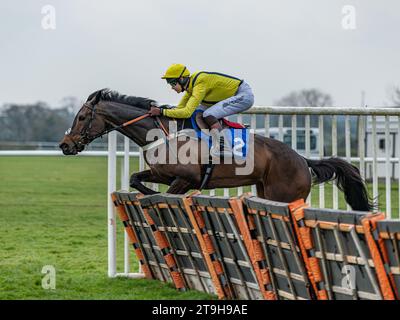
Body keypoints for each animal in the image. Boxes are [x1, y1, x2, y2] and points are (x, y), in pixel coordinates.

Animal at [57, 89, 374, 211]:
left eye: (82, 117)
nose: (65, 145)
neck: (162, 134)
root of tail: (301, 158)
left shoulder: (185, 178)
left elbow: (169, 193)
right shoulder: (160, 173)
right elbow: (136, 178)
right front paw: (144, 192)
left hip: (285, 195)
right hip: (265, 190)